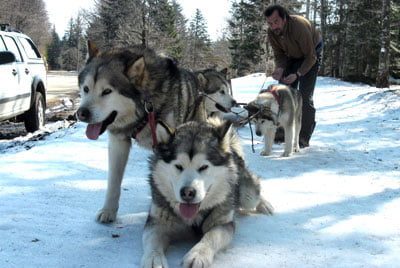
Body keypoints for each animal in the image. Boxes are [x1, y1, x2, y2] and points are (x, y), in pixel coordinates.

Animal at [77, 41, 220, 222]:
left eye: (107, 91)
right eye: (86, 89)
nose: (81, 113)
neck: (144, 110)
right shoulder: (118, 143)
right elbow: (113, 182)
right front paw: (108, 211)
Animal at [140, 119, 272, 268]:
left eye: (203, 167)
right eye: (178, 166)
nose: (187, 192)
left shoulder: (223, 223)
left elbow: (211, 236)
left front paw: (197, 255)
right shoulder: (157, 221)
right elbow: (152, 239)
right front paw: (153, 258)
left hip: (247, 194)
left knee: (254, 194)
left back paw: (264, 205)